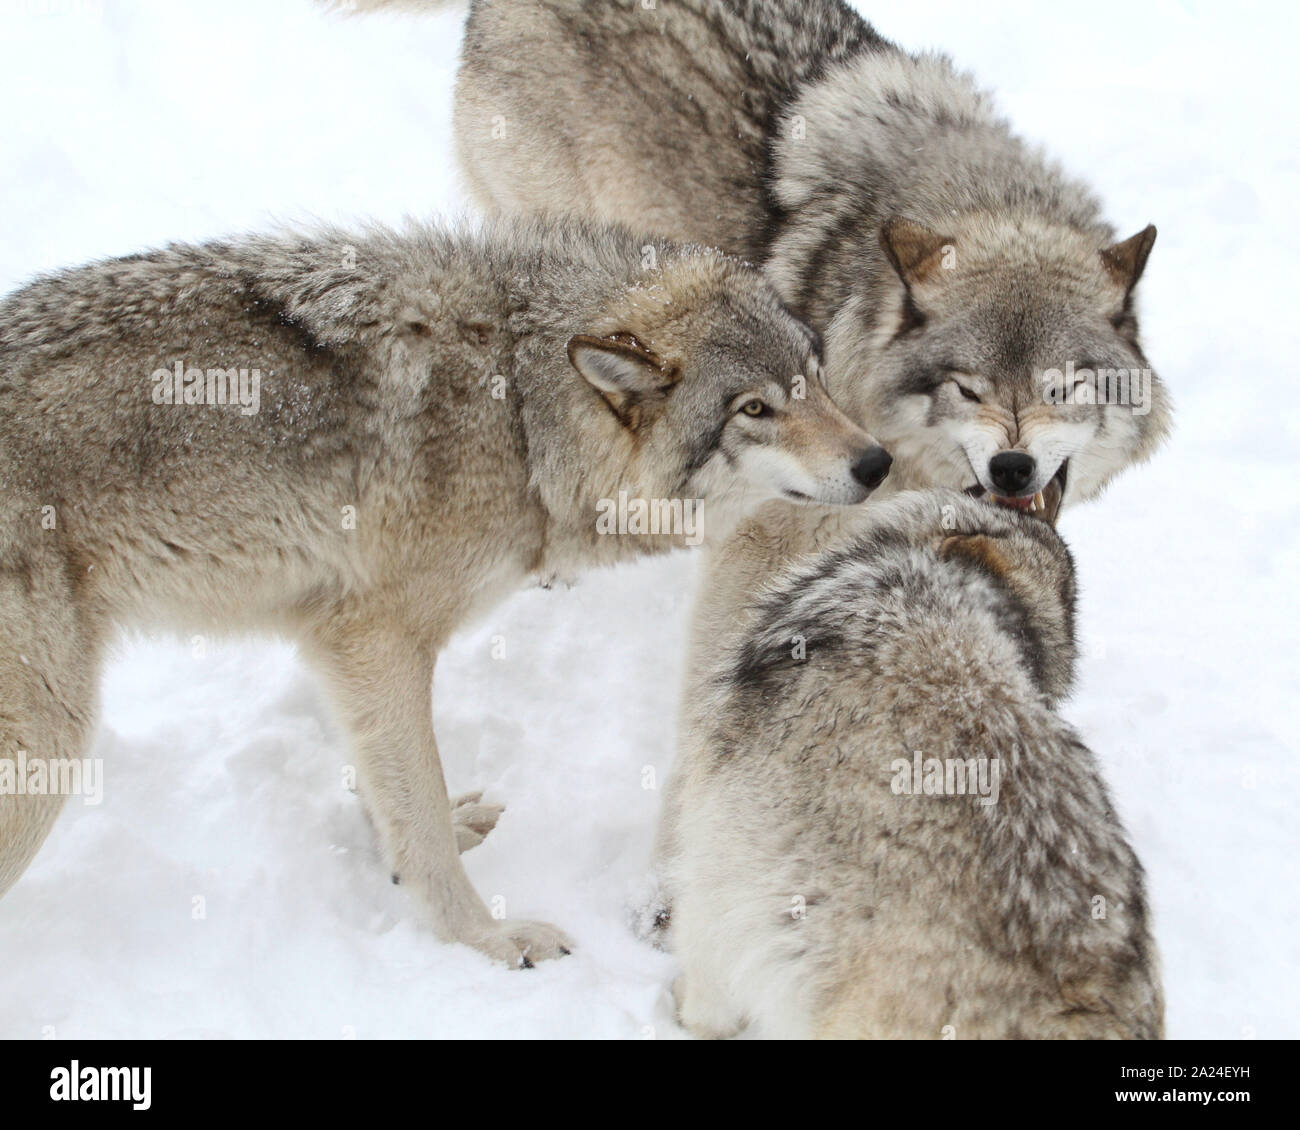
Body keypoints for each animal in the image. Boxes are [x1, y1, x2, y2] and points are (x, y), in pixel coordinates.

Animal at [0, 215, 889, 967]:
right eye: (754, 410)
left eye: (814, 379)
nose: (877, 462)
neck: (520, 413)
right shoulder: (379, 639)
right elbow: (418, 807)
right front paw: (487, 941)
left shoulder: (341, 648)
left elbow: (391, 787)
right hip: (49, 744)